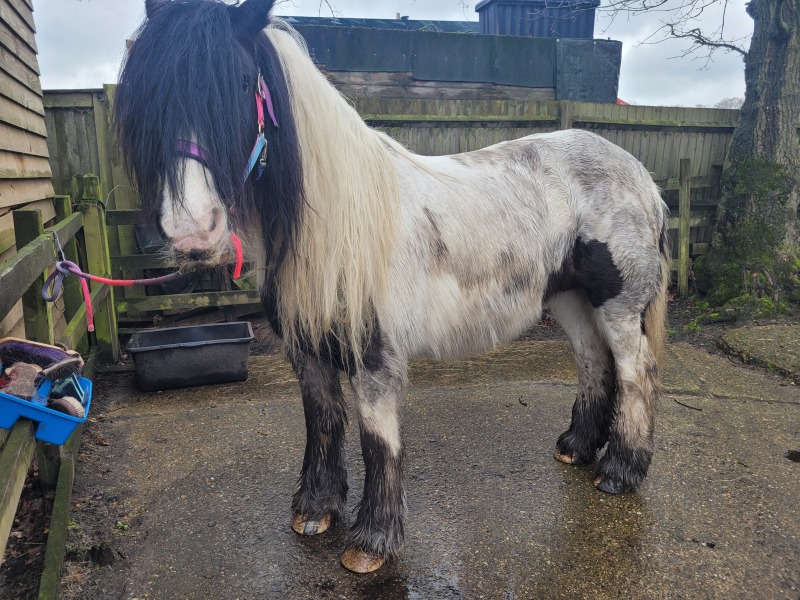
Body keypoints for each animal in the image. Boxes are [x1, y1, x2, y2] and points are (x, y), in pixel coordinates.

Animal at [116, 0, 670, 574]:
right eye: (145, 96)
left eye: (243, 84)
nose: (192, 232)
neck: (339, 225)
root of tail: (641, 178)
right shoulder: (306, 351)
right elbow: (322, 422)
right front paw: (315, 510)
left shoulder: (374, 358)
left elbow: (377, 440)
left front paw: (371, 542)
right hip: (570, 299)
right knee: (593, 362)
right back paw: (577, 448)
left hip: (618, 307)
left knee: (636, 371)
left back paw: (620, 472)